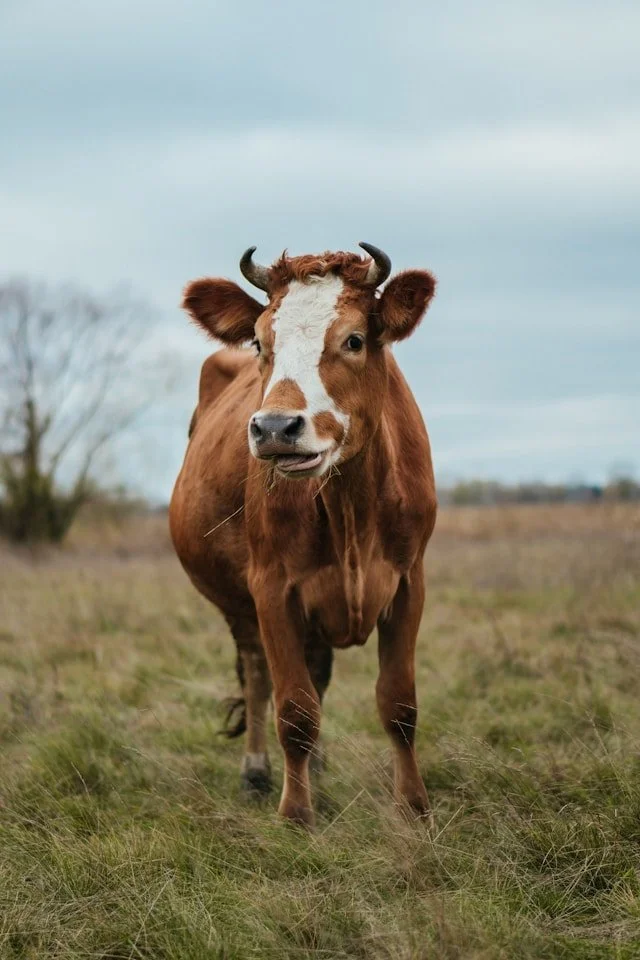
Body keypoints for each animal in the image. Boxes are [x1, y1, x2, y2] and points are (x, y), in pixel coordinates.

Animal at [169, 244, 437, 828]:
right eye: (259, 341)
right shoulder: (272, 589)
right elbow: (292, 708)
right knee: (257, 675)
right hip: (239, 605)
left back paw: (315, 766)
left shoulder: (410, 581)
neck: (350, 508)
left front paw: (413, 806)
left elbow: (400, 704)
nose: (274, 428)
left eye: (354, 340)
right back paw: (258, 772)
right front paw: (296, 813)